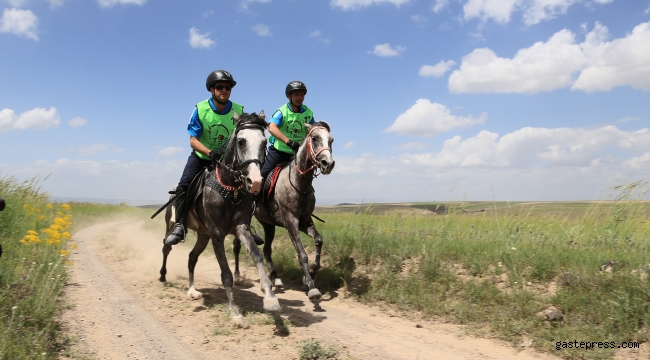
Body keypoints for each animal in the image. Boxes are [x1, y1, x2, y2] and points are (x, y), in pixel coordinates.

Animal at [159, 110, 280, 324]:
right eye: (241, 141)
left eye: (264, 142)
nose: (255, 181)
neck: (230, 189)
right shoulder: (216, 233)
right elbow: (226, 274)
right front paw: (235, 312)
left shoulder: (240, 227)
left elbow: (257, 257)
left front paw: (270, 297)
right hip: (172, 226)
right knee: (166, 247)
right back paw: (163, 277)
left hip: (203, 235)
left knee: (192, 257)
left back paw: (192, 290)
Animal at [233, 123, 334, 300]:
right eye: (315, 138)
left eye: (331, 140)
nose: (327, 163)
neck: (300, 183)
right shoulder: (291, 222)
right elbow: (302, 254)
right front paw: (311, 286)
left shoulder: (305, 221)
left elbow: (319, 240)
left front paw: (312, 273)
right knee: (238, 245)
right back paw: (238, 276)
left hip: (268, 225)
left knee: (267, 250)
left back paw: (275, 277)